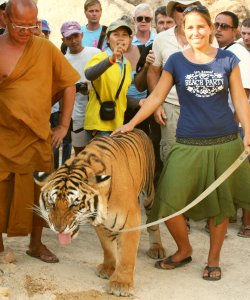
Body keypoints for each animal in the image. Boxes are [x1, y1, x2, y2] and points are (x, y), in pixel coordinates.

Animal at [33, 129, 166, 298]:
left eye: (74, 203)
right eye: (52, 202)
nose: (59, 229)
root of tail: (140, 130)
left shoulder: (131, 219)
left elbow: (127, 253)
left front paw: (121, 284)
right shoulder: (99, 221)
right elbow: (107, 247)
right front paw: (108, 269)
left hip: (149, 193)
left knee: (153, 223)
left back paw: (156, 248)